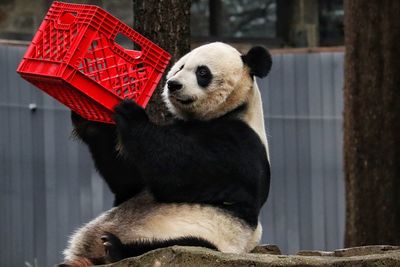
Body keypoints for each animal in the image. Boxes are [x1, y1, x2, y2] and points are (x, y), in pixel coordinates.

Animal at [60, 43, 272, 266]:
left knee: (178, 246)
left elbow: (176, 175)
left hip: (211, 238)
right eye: (180, 67)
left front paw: (130, 113)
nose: (173, 84)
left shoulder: (239, 146)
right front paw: (87, 117)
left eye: (202, 72)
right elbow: (129, 180)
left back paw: (115, 247)